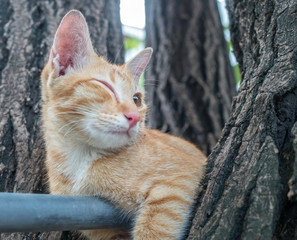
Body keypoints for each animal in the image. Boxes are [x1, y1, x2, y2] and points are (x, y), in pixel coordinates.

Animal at [40, 9, 205, 240]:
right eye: (106, 86)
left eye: (136, 100)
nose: (134, 117)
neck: (80, 158)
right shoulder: (102, 229)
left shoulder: (180, 177)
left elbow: (154, 230)